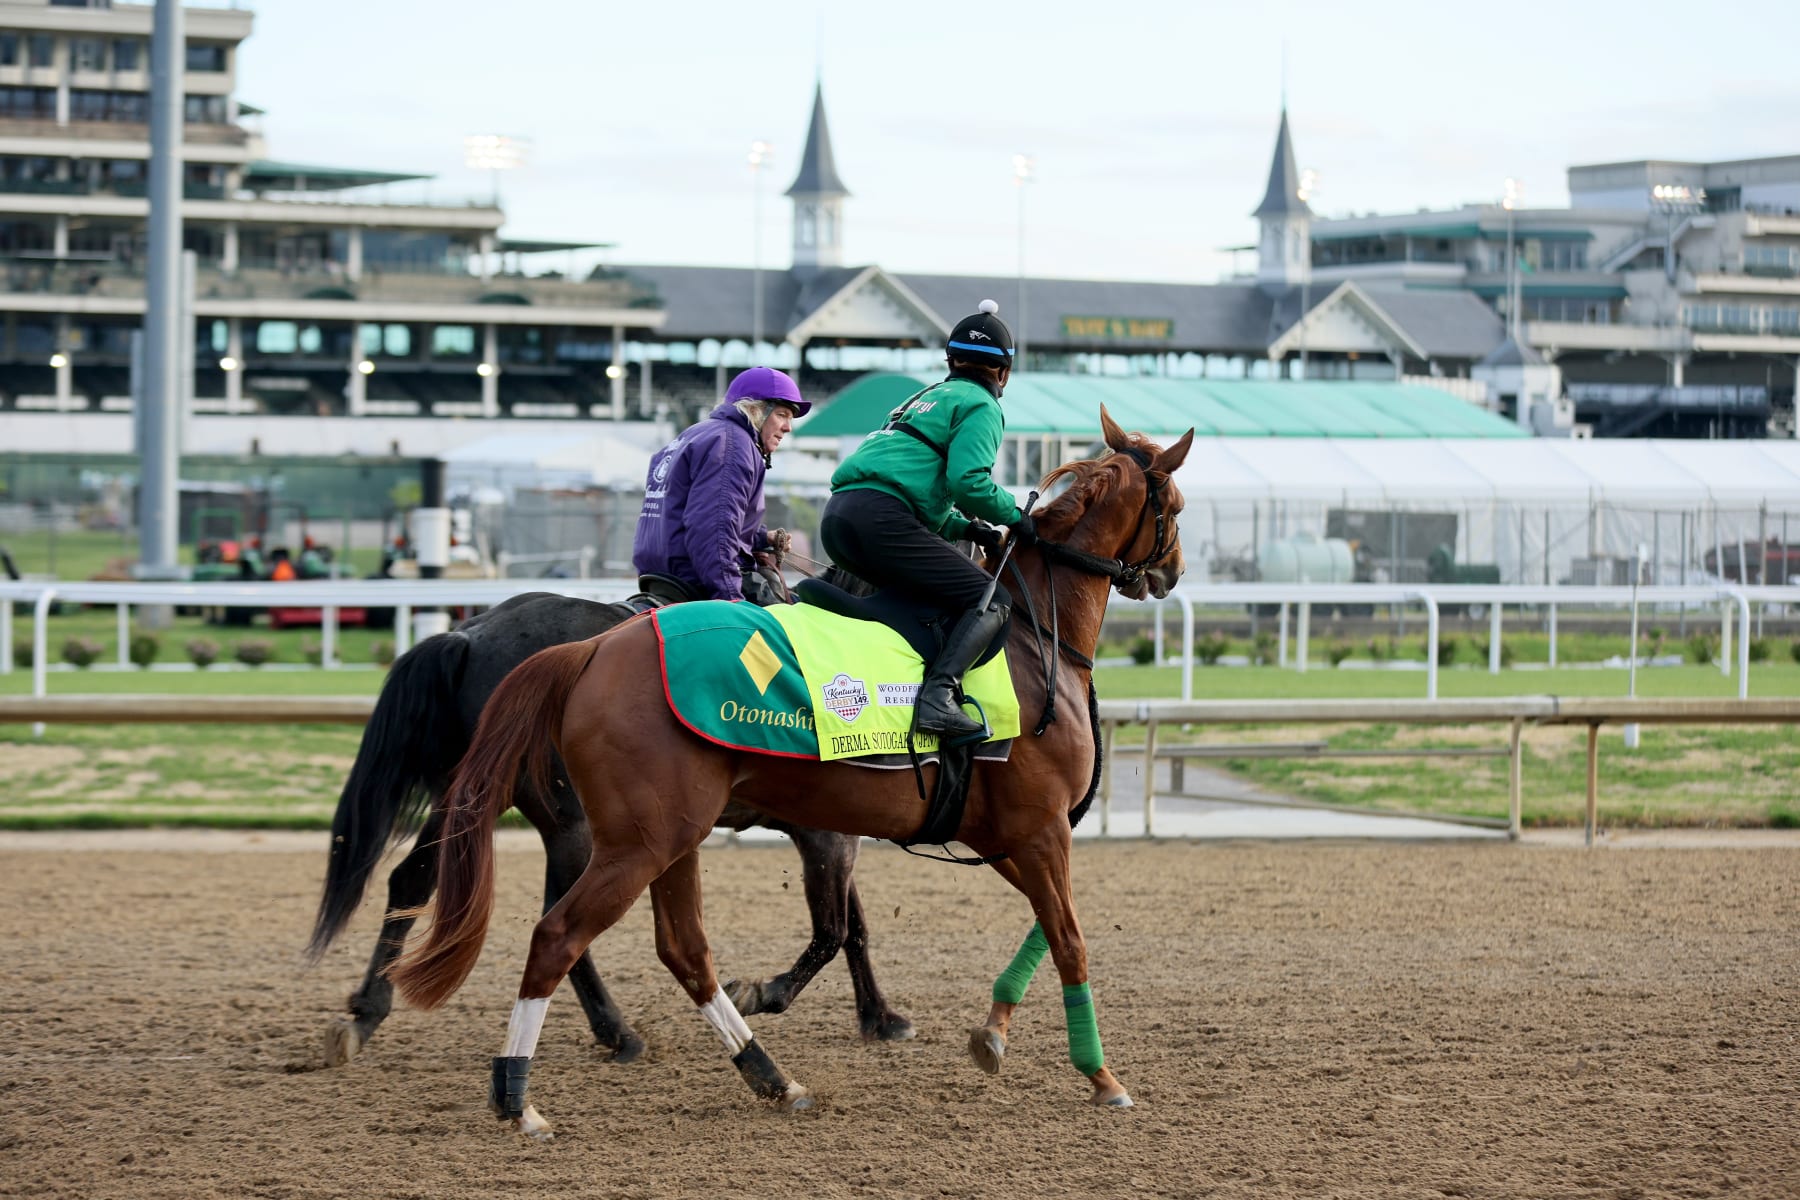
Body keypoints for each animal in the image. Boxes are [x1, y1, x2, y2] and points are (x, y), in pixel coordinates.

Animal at [306, 586, 914, 1065]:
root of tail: (468, 636)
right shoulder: (827, 836)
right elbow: (834, 930)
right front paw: (771, 994)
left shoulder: (833, 832)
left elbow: (853, 928)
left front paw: (880, 1016)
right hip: (573, 828)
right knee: (561, 923)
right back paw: (615, 1030)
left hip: (468, 803)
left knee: (412, 880)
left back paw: (365, 1012)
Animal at [387, 410, 1188, 1137]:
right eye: (1174, 504)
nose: (1171, 572)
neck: (1028, 631)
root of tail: (589, 652)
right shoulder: (1034, 827)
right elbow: (1063, 937)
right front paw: (1100, 1076)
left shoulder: (1005, 833)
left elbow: (1027, 926)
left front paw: (985, 1032)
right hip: (628, 839)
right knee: (558, 934)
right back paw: (520, 1092)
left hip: (667, 836)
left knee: (681, 948)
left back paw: (769, 1076)